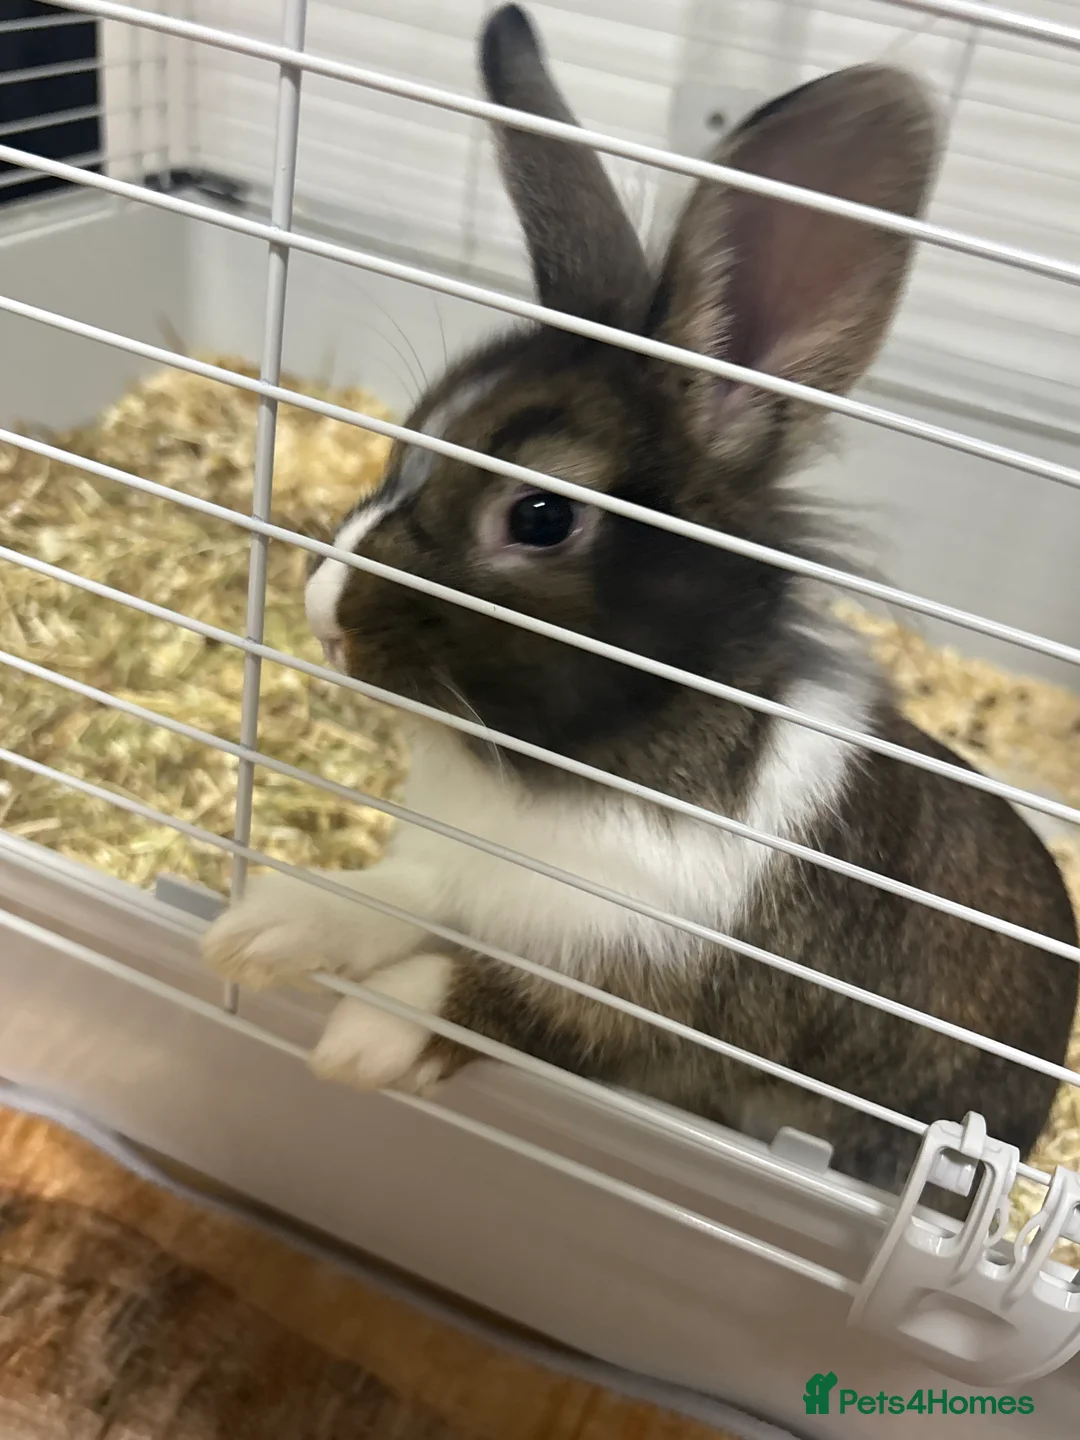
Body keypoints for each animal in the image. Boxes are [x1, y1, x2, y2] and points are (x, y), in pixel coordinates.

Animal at [202, 2, 1079, 1202]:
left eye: (538, 517)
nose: (326, 611)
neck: (571, 765)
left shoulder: (640, 992)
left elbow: (495, 1003)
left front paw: (364, 1037)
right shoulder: (454, 875)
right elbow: (391, 898)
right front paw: (267, 927)